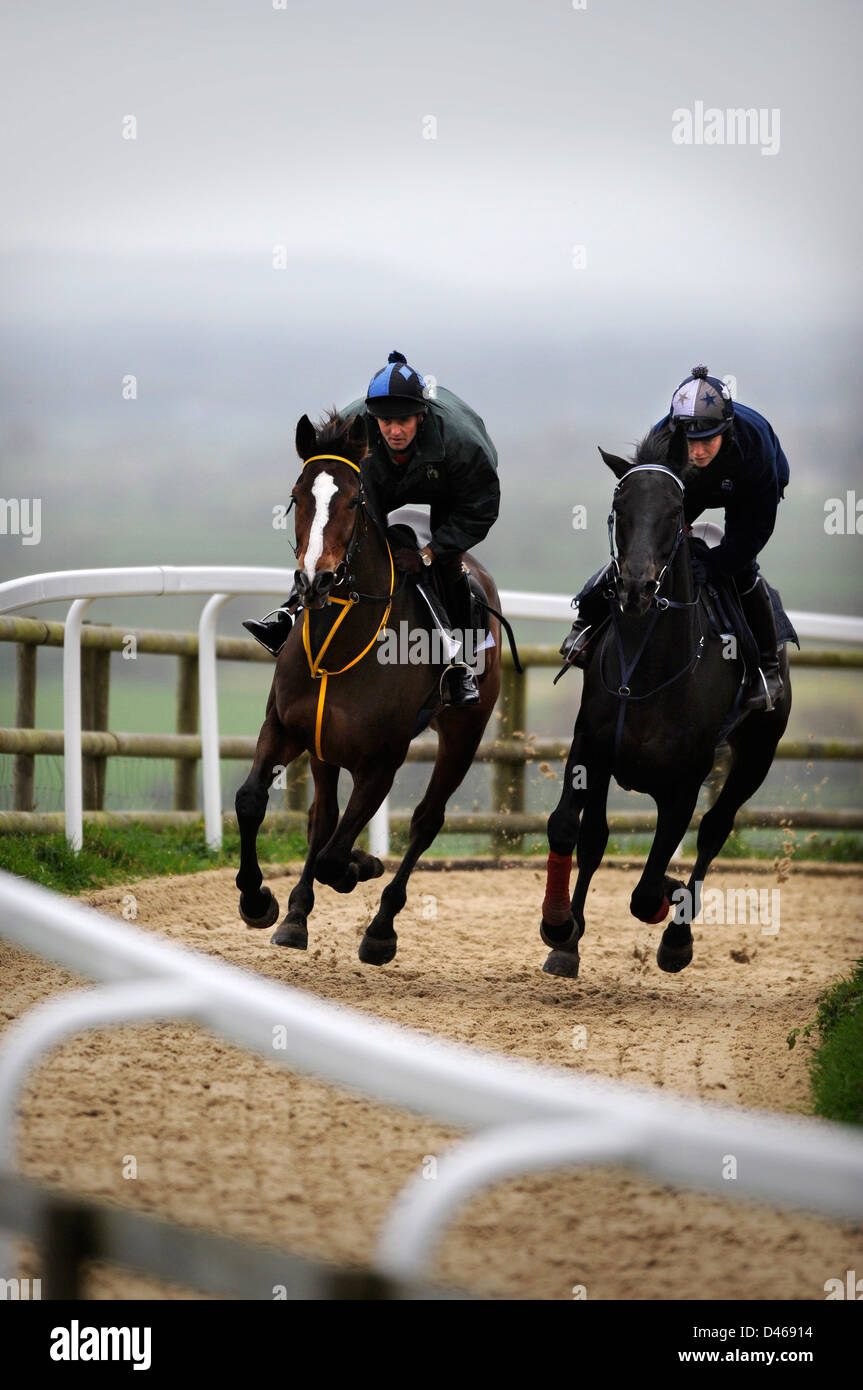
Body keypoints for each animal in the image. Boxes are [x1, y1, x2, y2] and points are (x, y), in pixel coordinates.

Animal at [236, 405, 505, 961]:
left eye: (354, 500)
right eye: (298, 495)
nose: (314, 581)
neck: (339, 643)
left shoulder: (381, 761)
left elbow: (335, 856)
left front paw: (362, 865)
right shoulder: (287, 728)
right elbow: (253, 802)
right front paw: (259, 901)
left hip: (464, 733)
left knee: (425, 821)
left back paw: (381, 926)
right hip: (323, 748)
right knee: (322, 817)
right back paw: (296, 915)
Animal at [541, 433, 789, 978]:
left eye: (676, 511)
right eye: (620, 505)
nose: (634, 587)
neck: (646, 669)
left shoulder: (685, 783)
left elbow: (648, 887)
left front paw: (673, 904)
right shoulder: (590, 748)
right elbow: (571, 829)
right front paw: (560, 929)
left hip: (757, 756)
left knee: (715, 830)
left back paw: (678, 931)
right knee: (596, 840)